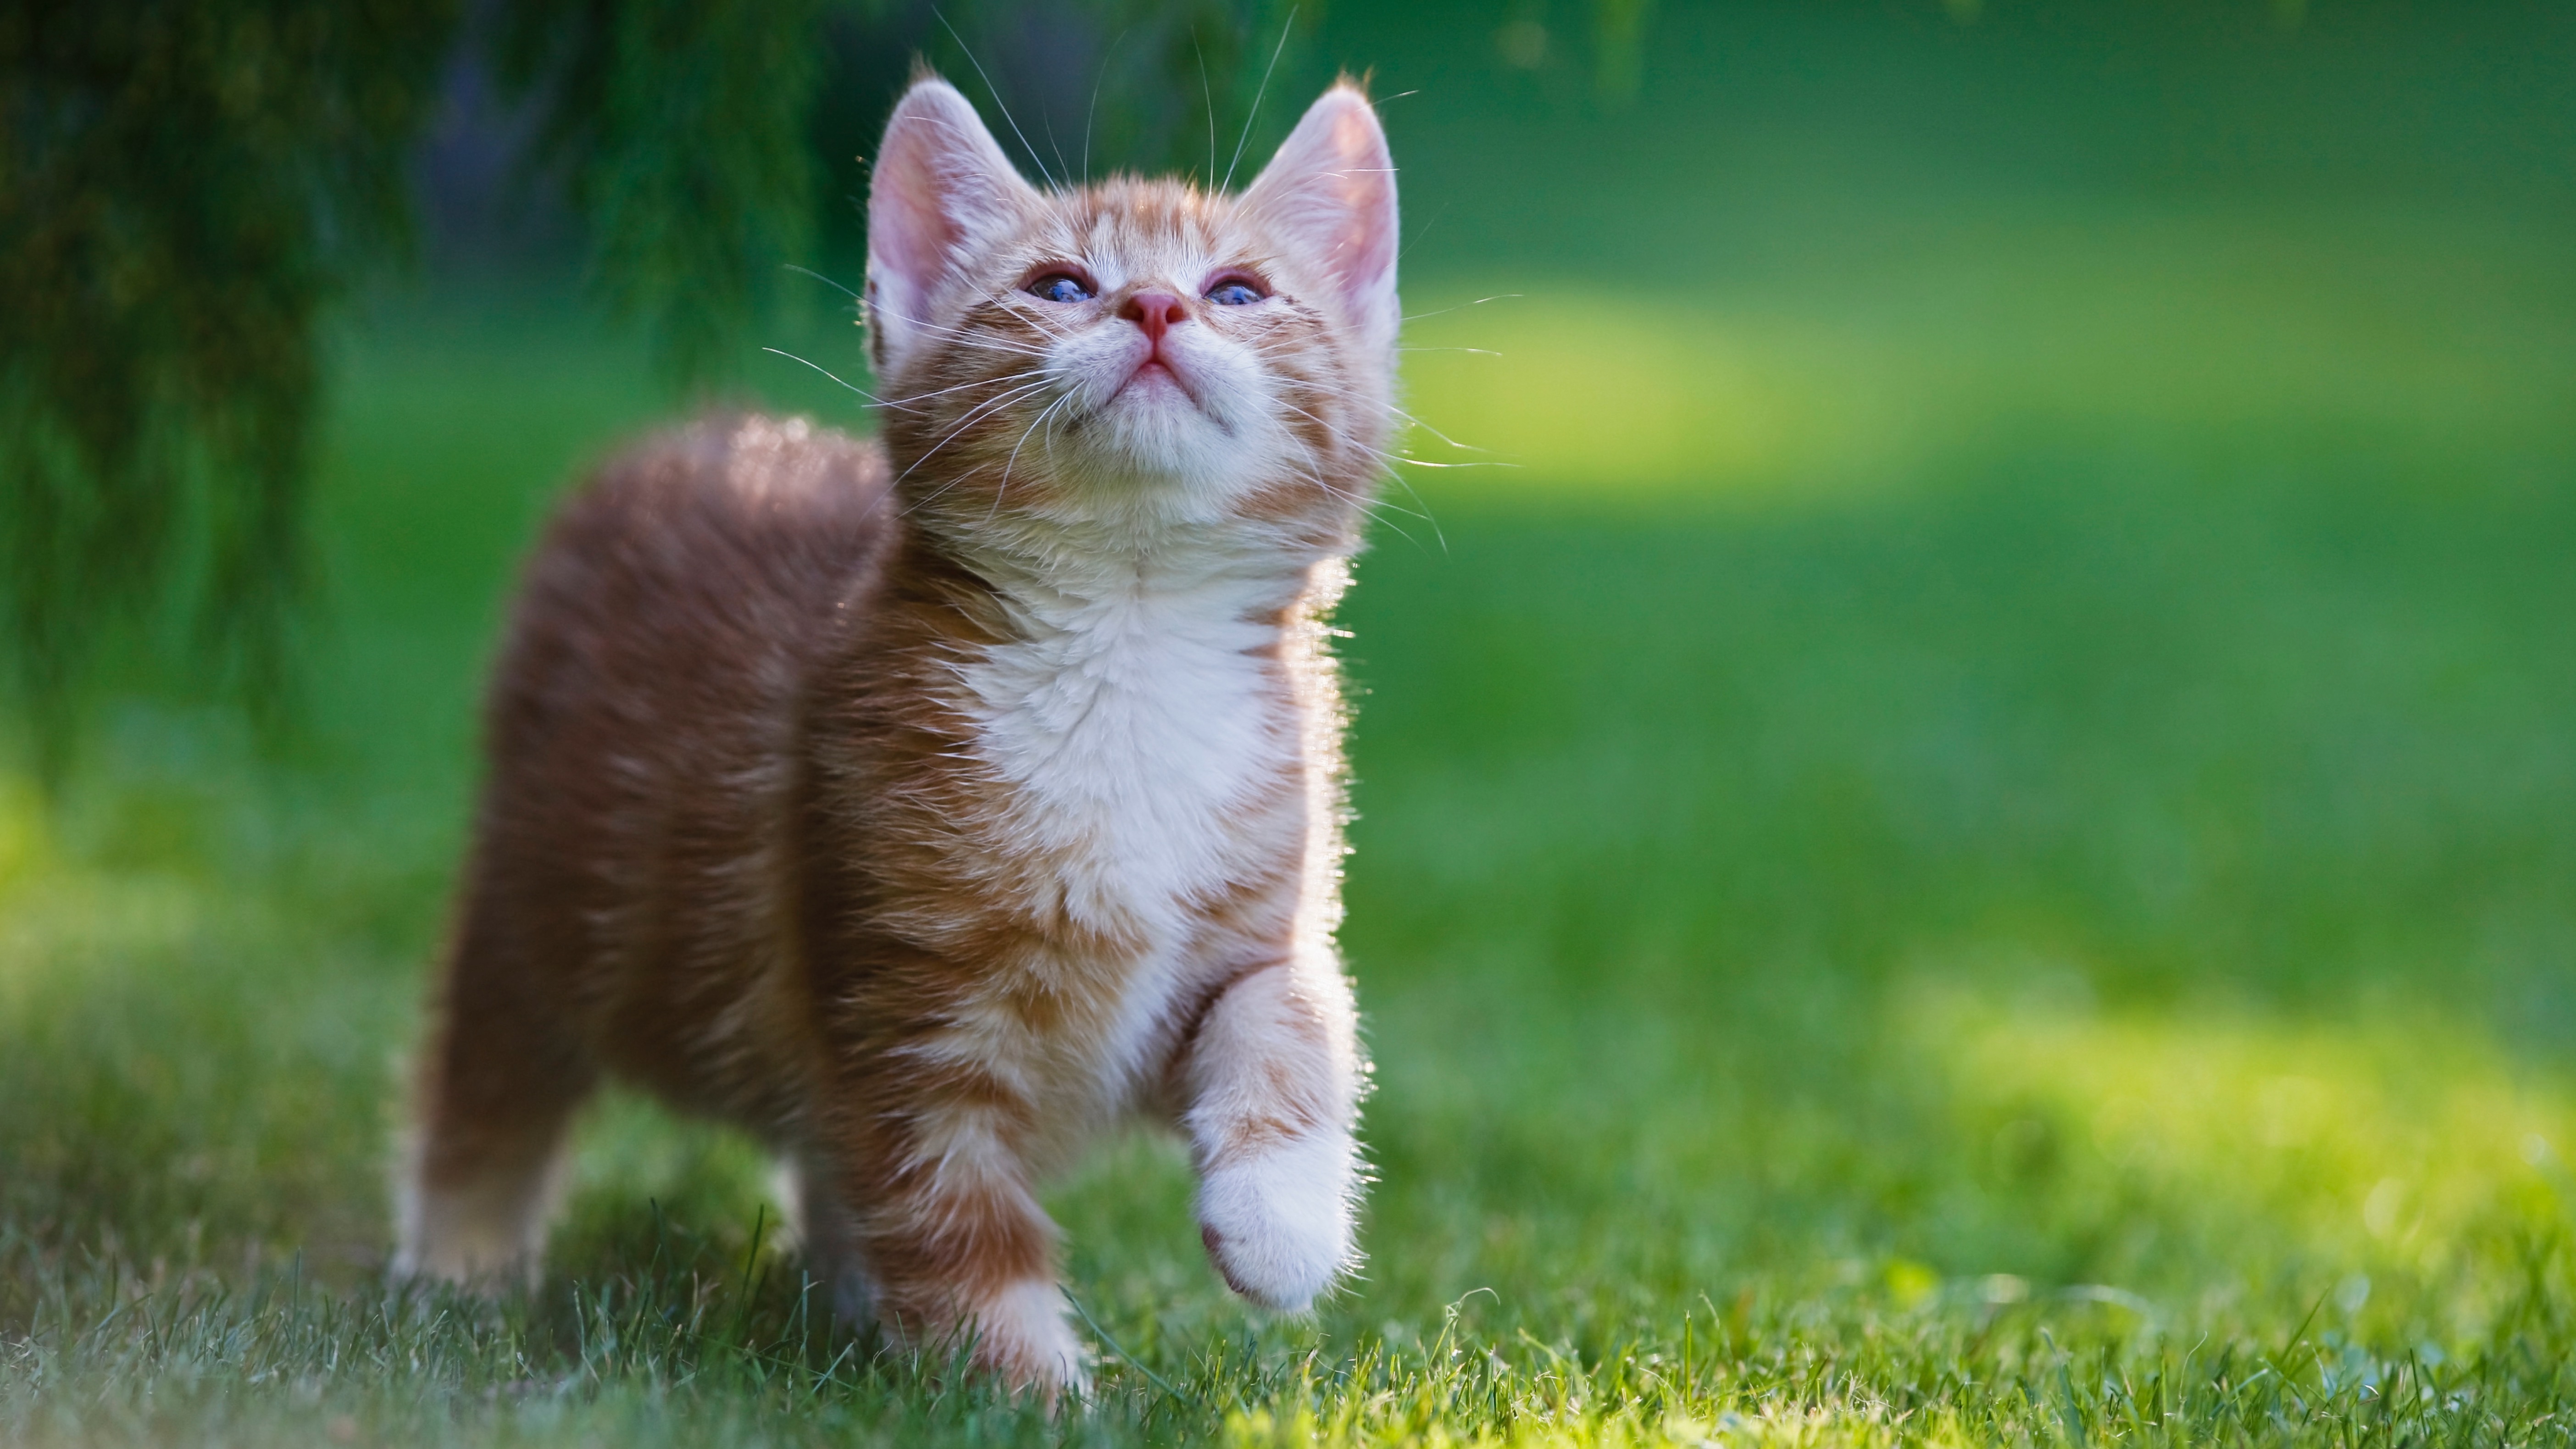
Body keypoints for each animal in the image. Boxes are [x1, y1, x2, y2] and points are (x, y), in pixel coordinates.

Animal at [391, 76, 1401, 1392]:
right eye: (1060, 285)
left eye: (1239, 290)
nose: (1156, 304)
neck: (1129, 644)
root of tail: (673, 440)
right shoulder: (895, 999)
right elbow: (951, 1215)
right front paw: (1029, 1389)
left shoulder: (1252, 905)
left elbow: (1297, 1011)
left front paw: (1281, 1222)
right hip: (543, 892)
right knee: (492, 1076)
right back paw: (457, 1269)